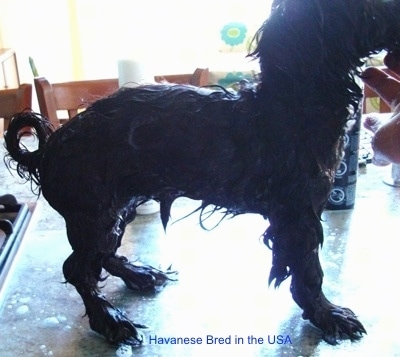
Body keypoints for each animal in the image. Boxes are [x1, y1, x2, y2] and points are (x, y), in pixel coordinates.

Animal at [3, 0, 400, 346]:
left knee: (103, 257)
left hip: (118, 207)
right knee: (78, 269)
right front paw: (328, 315)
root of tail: (49, 148)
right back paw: (111, 321)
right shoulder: (296, 216)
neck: (292, 103)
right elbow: (308, 273)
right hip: (95, 214)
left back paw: (140, 275)